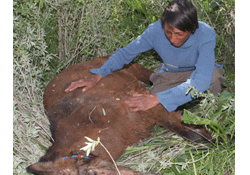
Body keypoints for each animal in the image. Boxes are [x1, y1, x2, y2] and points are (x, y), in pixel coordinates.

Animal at [27, 55, 212, 174]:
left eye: (93, 173)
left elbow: (190, 132)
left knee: (152, 75)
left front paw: (216, 140)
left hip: (133, 68)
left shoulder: (144, 104)